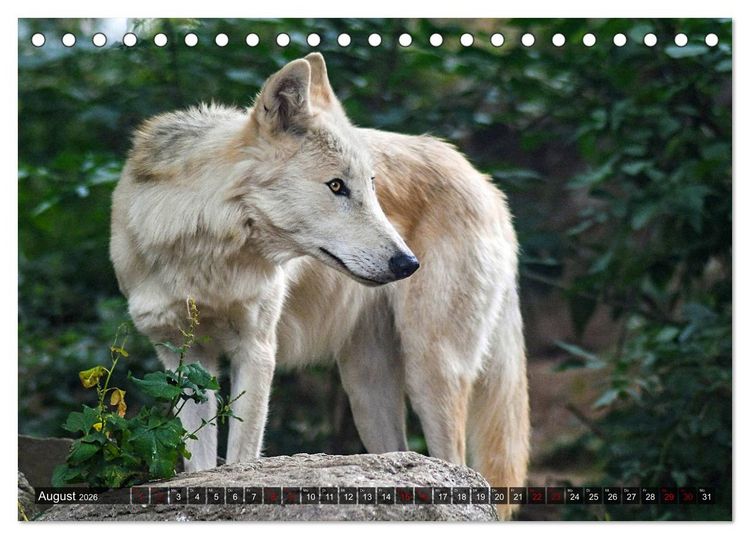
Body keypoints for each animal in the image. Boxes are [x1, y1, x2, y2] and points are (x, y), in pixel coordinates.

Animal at [110, 53, 529, 518]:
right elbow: (197, 464)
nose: (408, 264)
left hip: (430, 369)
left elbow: (240, 457)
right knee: (401, 455)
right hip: (366, 390)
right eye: (336, 186)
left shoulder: (257, 350)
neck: (204, 251)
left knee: (455, 464)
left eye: (372, 187)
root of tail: (486, 183)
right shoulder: (182, 360)